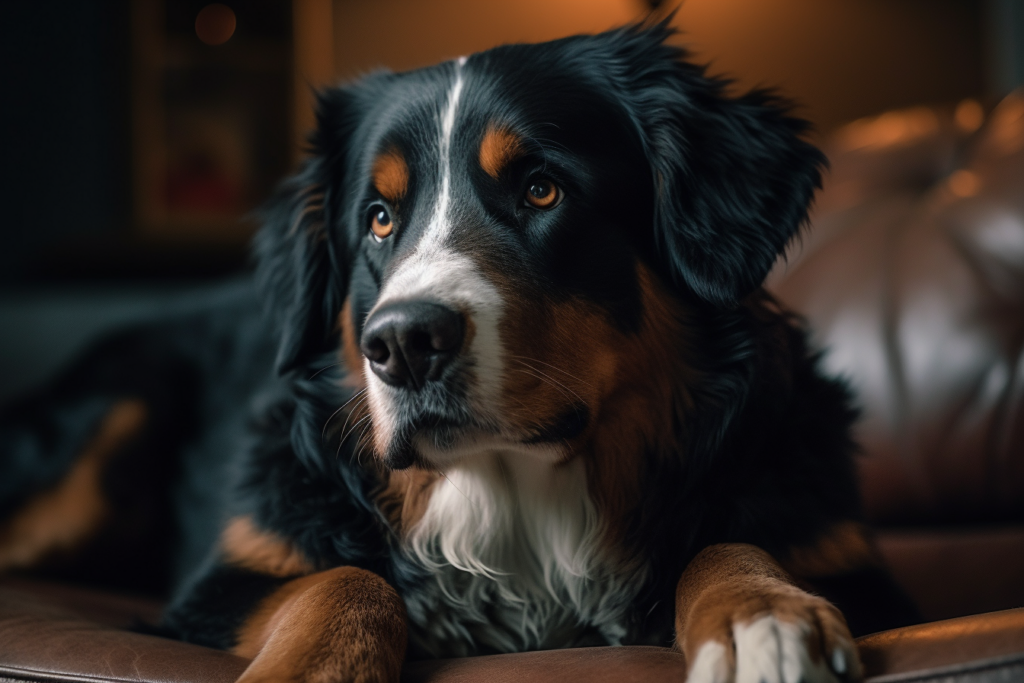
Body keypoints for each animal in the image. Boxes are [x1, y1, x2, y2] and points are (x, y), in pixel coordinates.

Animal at [0, 18, 917, 683]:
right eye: (379, 218)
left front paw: (763, 614)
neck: (515, 506)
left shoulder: (843, 554)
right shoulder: (222, 581)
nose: (404, 343)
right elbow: (346, 578)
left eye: (541, 189)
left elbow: (727, 541)